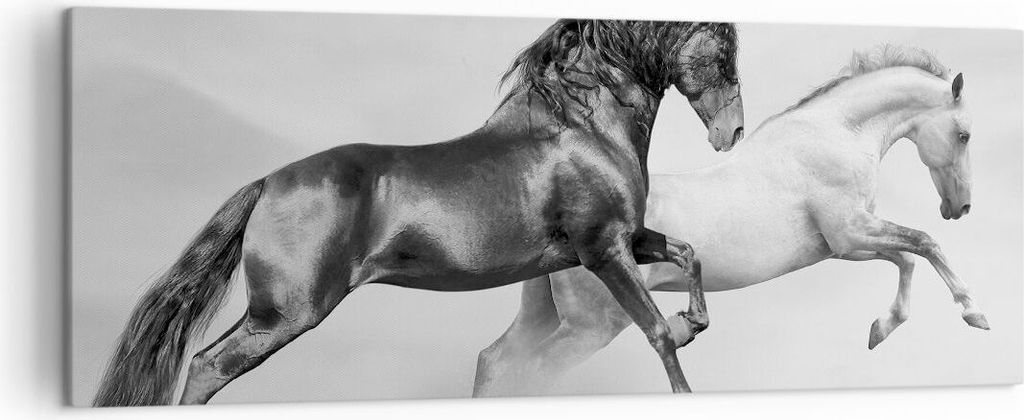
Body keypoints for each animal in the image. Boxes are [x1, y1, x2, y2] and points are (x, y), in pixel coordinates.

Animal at [93, 19, 746, 406]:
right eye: (722, 49)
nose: (731, 133)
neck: (581, 130)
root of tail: (267, 182)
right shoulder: (602, 249)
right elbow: (656, 332)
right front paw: (681, 345)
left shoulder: (627, 239)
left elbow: (689, 254)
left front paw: (694, 321)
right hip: (286, 313)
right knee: (208, 366)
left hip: (273, 313)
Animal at [473, 45, 988, 397]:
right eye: (964, 134)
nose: (960, 207)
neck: (834, 135)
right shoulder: (851, 234)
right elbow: (924, 244)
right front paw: (974, 313)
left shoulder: (849, 243)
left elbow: (908, 258)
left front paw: (880, 330)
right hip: (591, 328)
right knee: (529, 372)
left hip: (543, 317)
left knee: (494, 361)